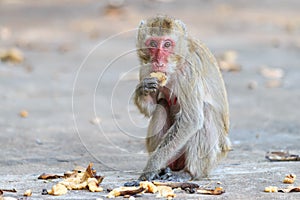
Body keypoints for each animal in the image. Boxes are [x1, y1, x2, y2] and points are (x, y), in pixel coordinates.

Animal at [132, 15, 231, 181]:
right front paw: (143, 89)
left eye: (167, 44)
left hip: (213, 157)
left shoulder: (188, 73)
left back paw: (189, 173)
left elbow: (191, 120)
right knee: (162, 106)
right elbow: (151, 109)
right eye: (153, 44)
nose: (158, 62)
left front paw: (151, 167)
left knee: (205, 112)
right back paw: (164, 169)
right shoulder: (146, 69)